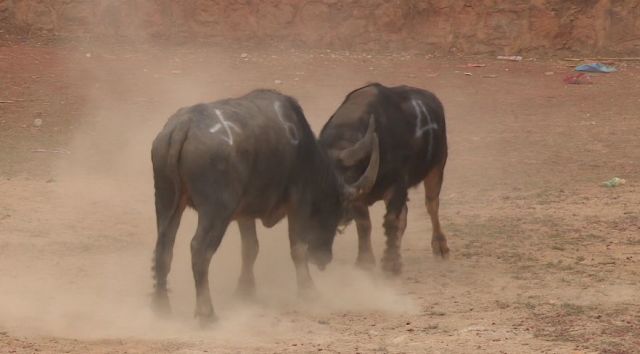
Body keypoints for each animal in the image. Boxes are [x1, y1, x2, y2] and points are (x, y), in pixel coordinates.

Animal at [150, 89, 380, 324]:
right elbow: (298, 247)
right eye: (335, 212)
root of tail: (183, 125)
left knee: (163, 248)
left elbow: (250, 248)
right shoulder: (299, 202)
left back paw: (161, 309)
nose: (323, 259)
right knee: (200, 250)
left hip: (166, 201)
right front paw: (308, 291)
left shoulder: (244, 213)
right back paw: (207, 313)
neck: (303, 151)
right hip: (215, 212)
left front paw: (245, 290)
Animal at [318, 82, 448, 274]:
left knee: (432, 205)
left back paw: (440, 246)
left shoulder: (396, 187)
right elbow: (364, 224)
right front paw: (365, 261)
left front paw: (390, 263)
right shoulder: (359, 196)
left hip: (437, 166)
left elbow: (392, 220)